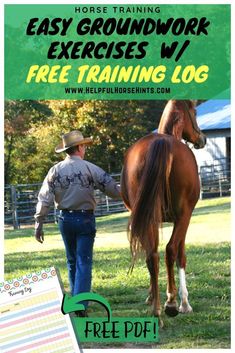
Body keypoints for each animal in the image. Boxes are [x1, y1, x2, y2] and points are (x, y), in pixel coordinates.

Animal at [120, 99, 207, 320]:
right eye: (194, 112)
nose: (202, 138)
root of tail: (161, 143)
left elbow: (152, 253)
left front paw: (151, 296)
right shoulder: (184, 218)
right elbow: (181, 255)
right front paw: (184, 302)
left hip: (147, 217)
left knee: (152, 255)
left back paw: (157, 309)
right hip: (183, 216)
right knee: (170, 250)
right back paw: (171, 303)